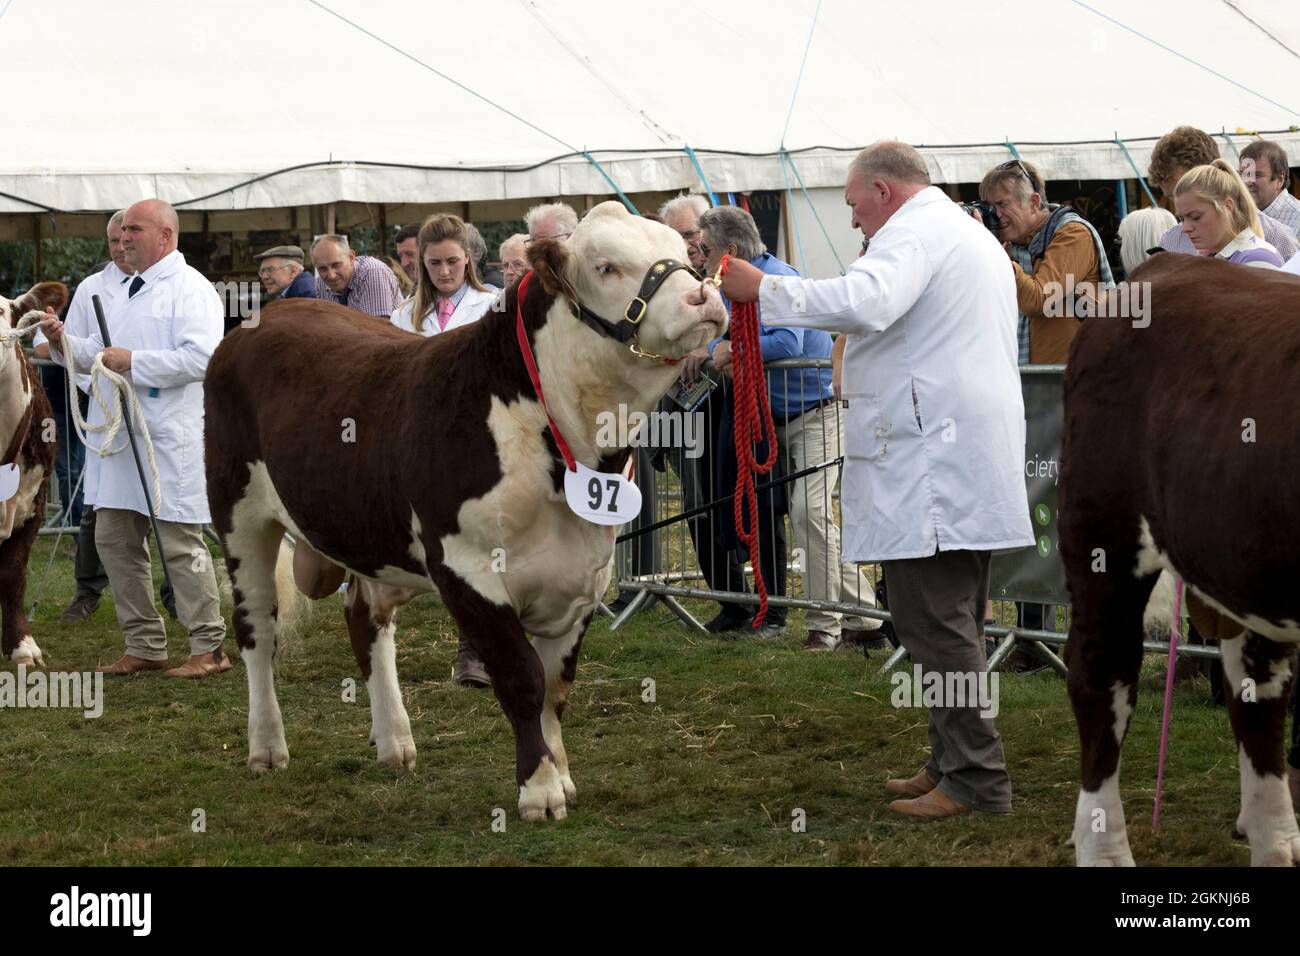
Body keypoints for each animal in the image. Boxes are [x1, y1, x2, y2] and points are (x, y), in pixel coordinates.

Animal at [208, 197, 728, 816]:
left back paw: (394, 742)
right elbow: (521, 679)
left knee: (365, 617)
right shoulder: (467, 567)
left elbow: (556, 686)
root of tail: (269, 316)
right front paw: (539, 790)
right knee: (257, 627)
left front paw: (560, 774)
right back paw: (267, 746)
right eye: (605, 267)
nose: (704, 296)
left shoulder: (586, 574)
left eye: (679, 250)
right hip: (239, 515)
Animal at [1066, 254, 1300, 868]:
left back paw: (1274, 840)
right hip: (1103, 532)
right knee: (1101, 676)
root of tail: (1169, 263)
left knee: (1257, 690)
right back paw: (1104, 849)